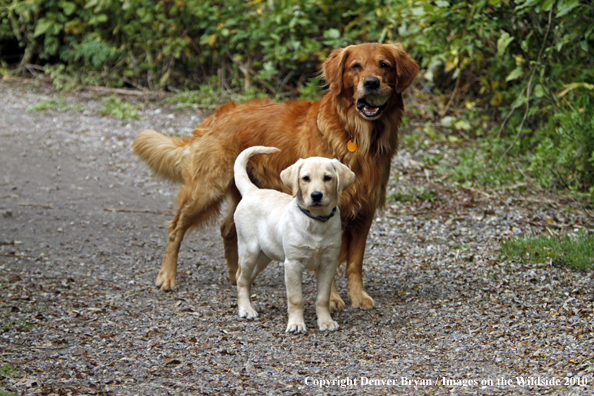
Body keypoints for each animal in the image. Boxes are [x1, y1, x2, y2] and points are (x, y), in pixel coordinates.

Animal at [133, 42, 416, 310]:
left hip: (244, 192)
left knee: (227, 229)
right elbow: (330, 266)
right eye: (356, 66)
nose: (371, 83)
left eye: (384, 65)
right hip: (206, 189)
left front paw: (358, 296)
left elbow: (355, 262)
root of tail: (218, 113)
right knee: (176, 228)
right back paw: (167, 276)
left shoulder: (364, 211)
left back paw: (236, 274)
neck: (355, 133)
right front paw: (333, 299)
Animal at [231, 147, 354, 332]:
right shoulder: (293, 264)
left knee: (246, 276)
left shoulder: (328, 263)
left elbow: (323, 297)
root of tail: (252, 190)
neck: (316, 220)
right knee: (241, 279)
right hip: (249, 250)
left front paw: (325, 321)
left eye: (327, 178)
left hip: (264, 256)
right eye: (305, 178)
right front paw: (296, 324)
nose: (316, 195)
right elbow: (296, 298)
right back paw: (246, 309)